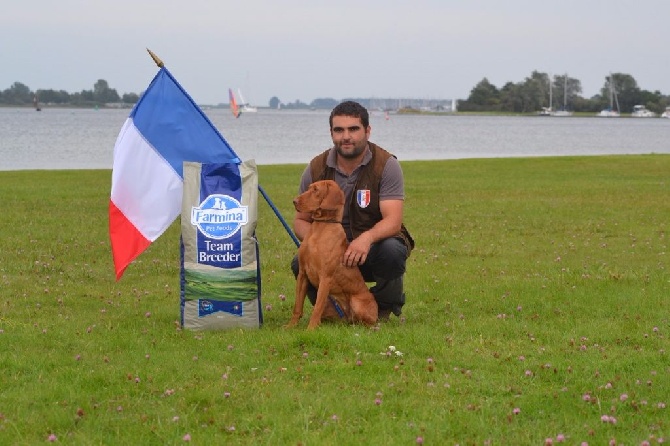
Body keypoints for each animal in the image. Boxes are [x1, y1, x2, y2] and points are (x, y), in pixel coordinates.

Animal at [288, 179, 378, 330]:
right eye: (309, 188)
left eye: (316, 190)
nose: (294, 201)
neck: (319, 228)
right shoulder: (302, 274)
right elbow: (297, 306)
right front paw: (291, 326)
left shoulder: (325, 277)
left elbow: (317, 308)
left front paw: (310, 329)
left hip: (357, 303)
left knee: (368, 322)